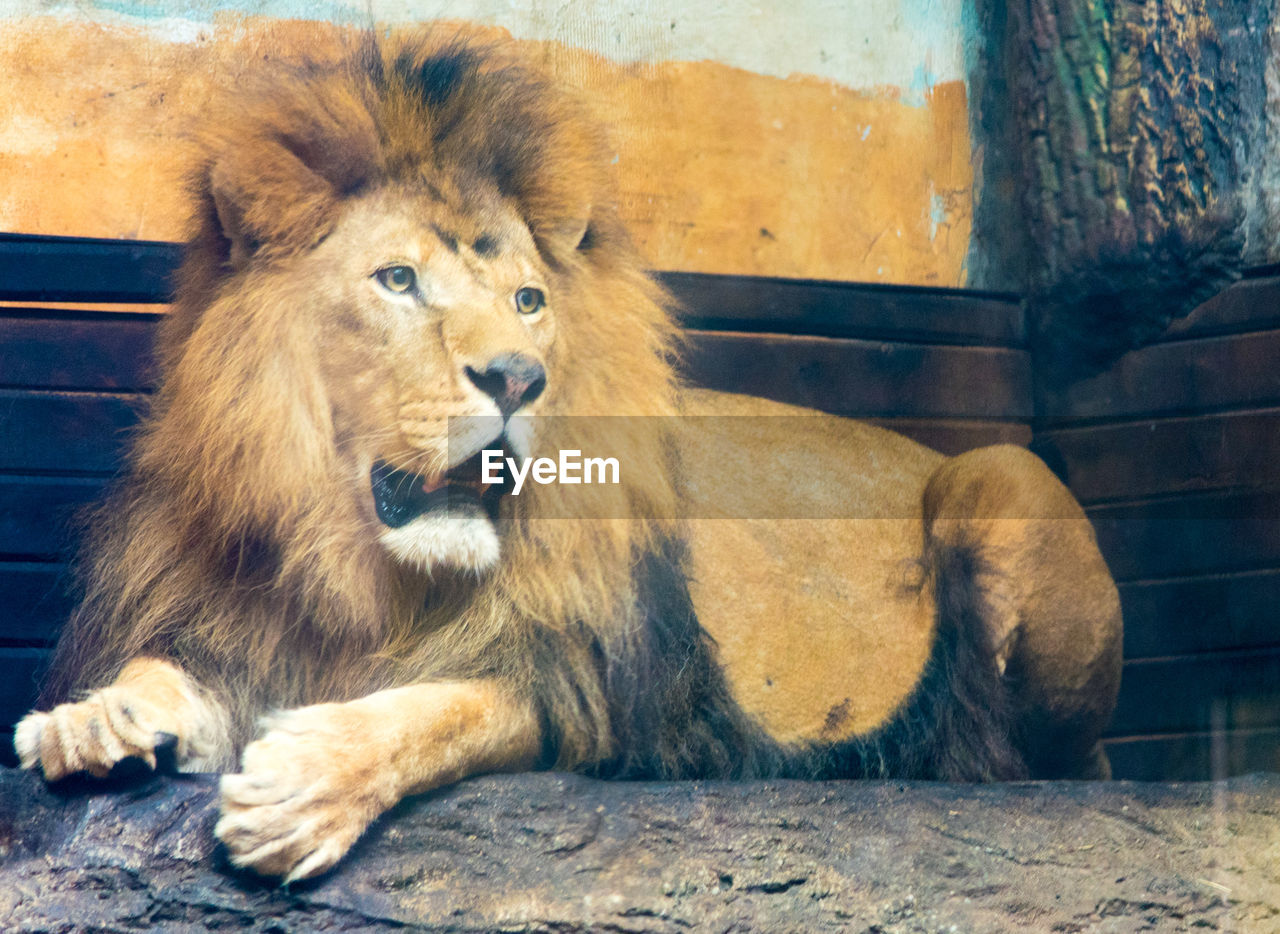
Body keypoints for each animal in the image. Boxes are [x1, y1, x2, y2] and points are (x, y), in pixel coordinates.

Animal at [17, 34, 1121, 880]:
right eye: (397, 280)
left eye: (528, 302)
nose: (516, 378)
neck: (359, 574)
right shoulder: (223, 614)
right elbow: (166, 666)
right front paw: (93, 721)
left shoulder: (589, 690)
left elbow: (445, 708)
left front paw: (302, 785)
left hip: (1001, 478)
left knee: (1044, 755)